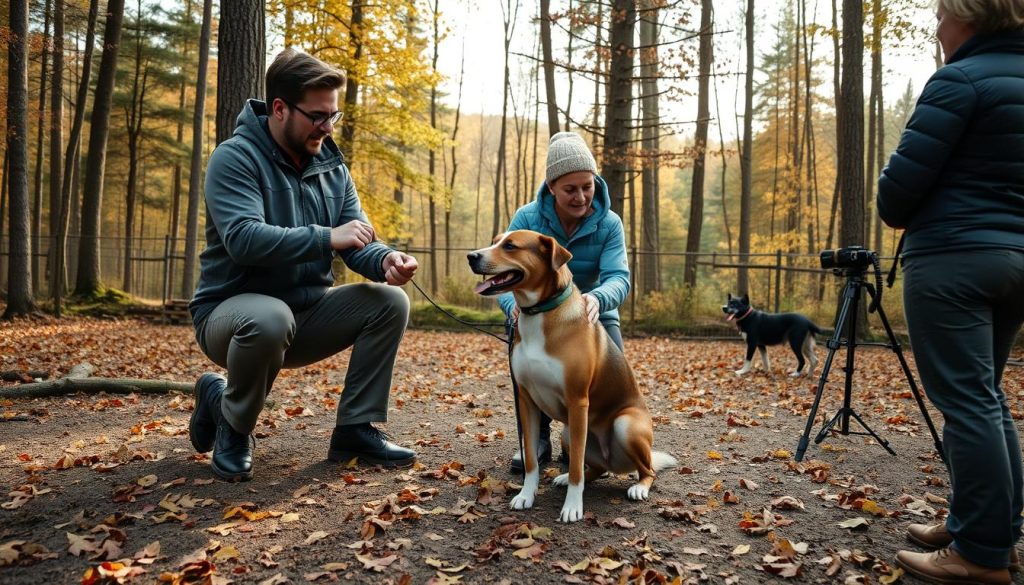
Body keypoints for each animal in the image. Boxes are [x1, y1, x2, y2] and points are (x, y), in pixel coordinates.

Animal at [468, 231, 675, 524]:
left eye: (510, 245)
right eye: (495, 241)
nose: (471, 256)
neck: (541, 313)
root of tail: (614, 460)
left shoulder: (578, 402)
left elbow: (576, 463)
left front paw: (573, 507)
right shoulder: (526, 401)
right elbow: (531, 460)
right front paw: (526, 495)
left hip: (624, 425)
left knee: (647, 471)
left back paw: (639, 488)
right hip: (568, 432)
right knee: (597, 469)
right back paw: (566, 478)